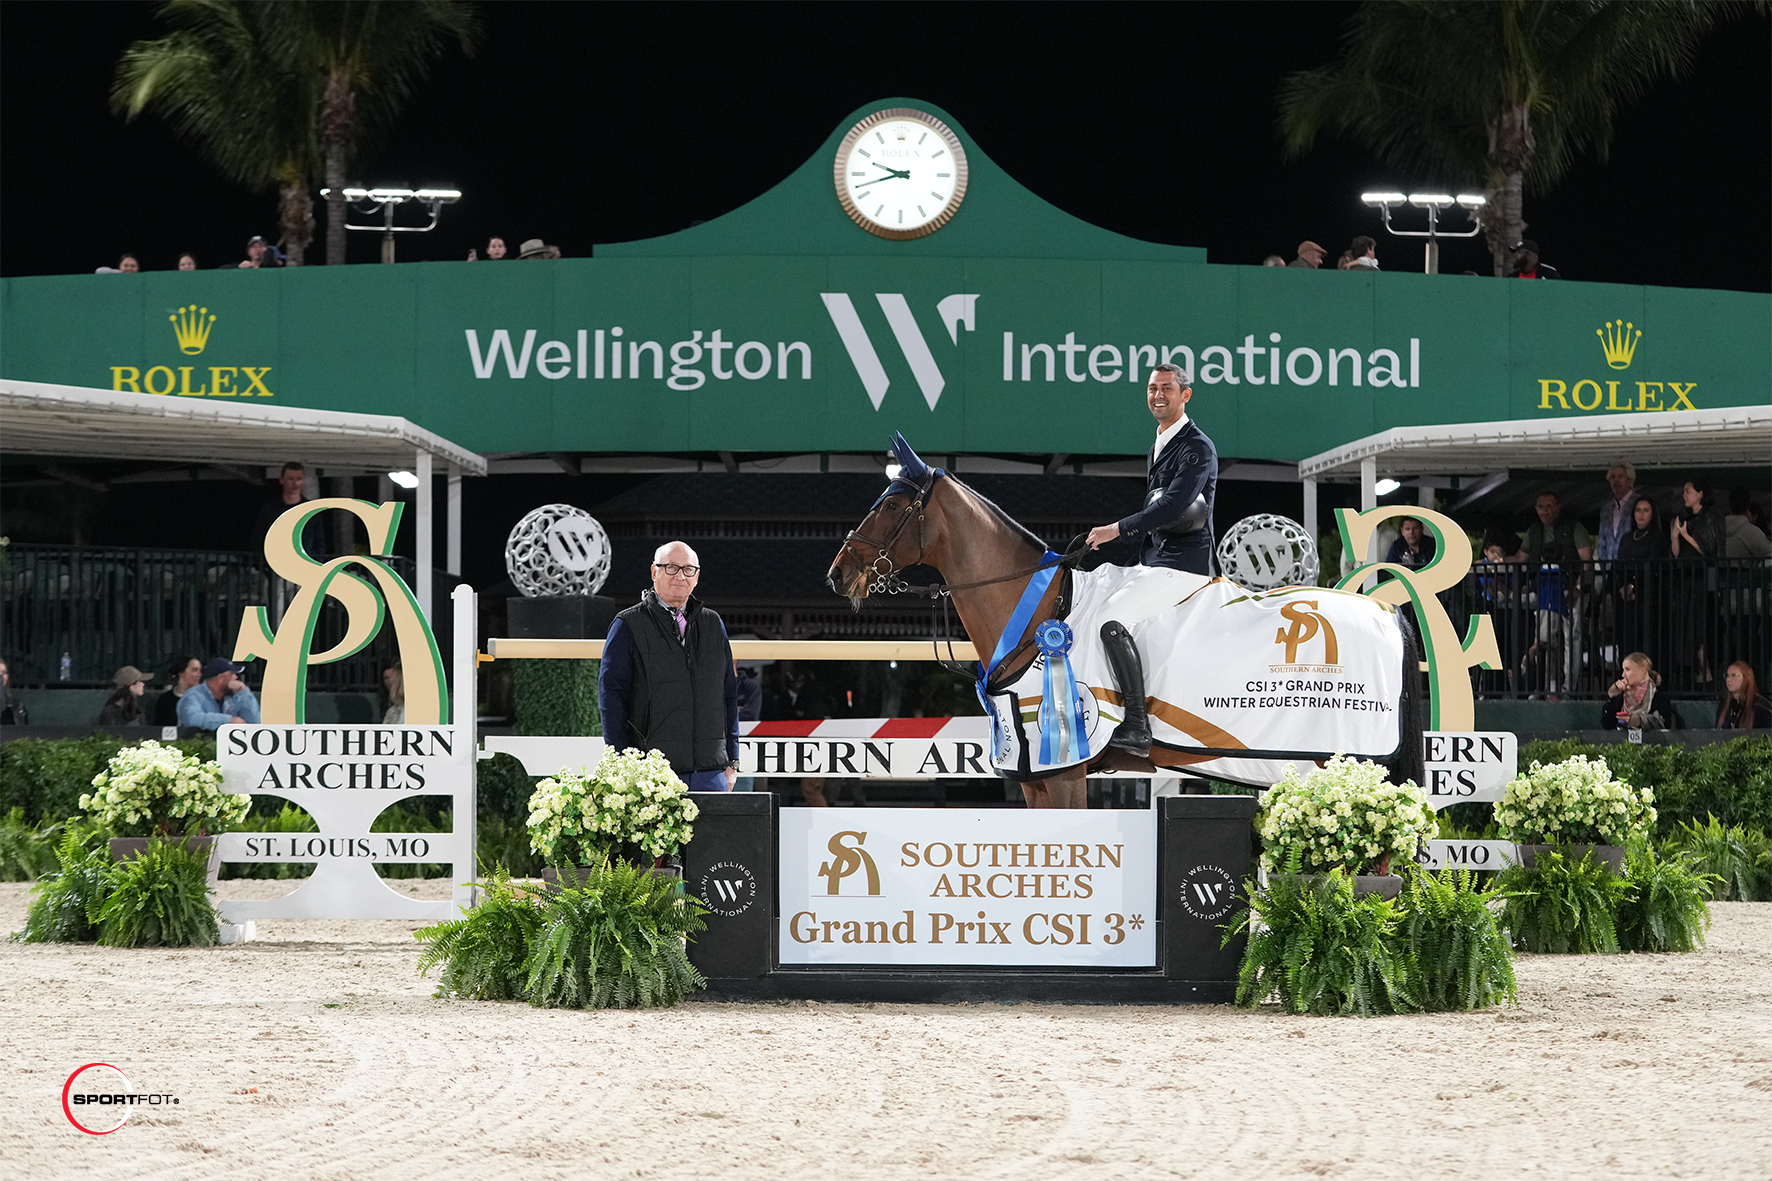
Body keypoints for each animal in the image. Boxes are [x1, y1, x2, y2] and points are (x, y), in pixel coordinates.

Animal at [829, 436, 1424, 805]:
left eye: (890, 506)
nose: (839, 574)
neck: (1039, 611)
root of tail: (1390, 615)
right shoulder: (1033, 776)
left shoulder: (1065, 771)